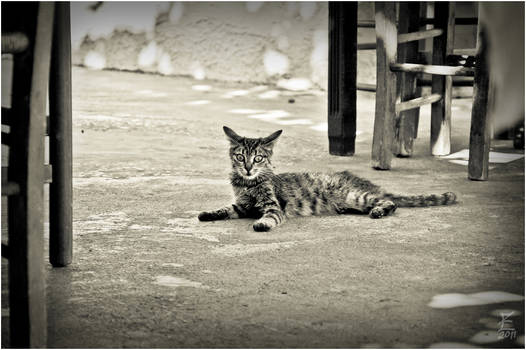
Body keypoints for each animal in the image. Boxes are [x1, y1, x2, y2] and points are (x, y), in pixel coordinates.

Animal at [198, 126, 458, 232]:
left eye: (259, 158)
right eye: (240, 157)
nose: (249, 168)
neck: (247, 184)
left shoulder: (273, 206)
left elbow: (270, 216)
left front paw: (262, 223)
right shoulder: (241, 206)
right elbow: (225, 209)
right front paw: (207, 213)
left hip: (356, 196)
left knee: (390, 202)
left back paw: (379, 211)